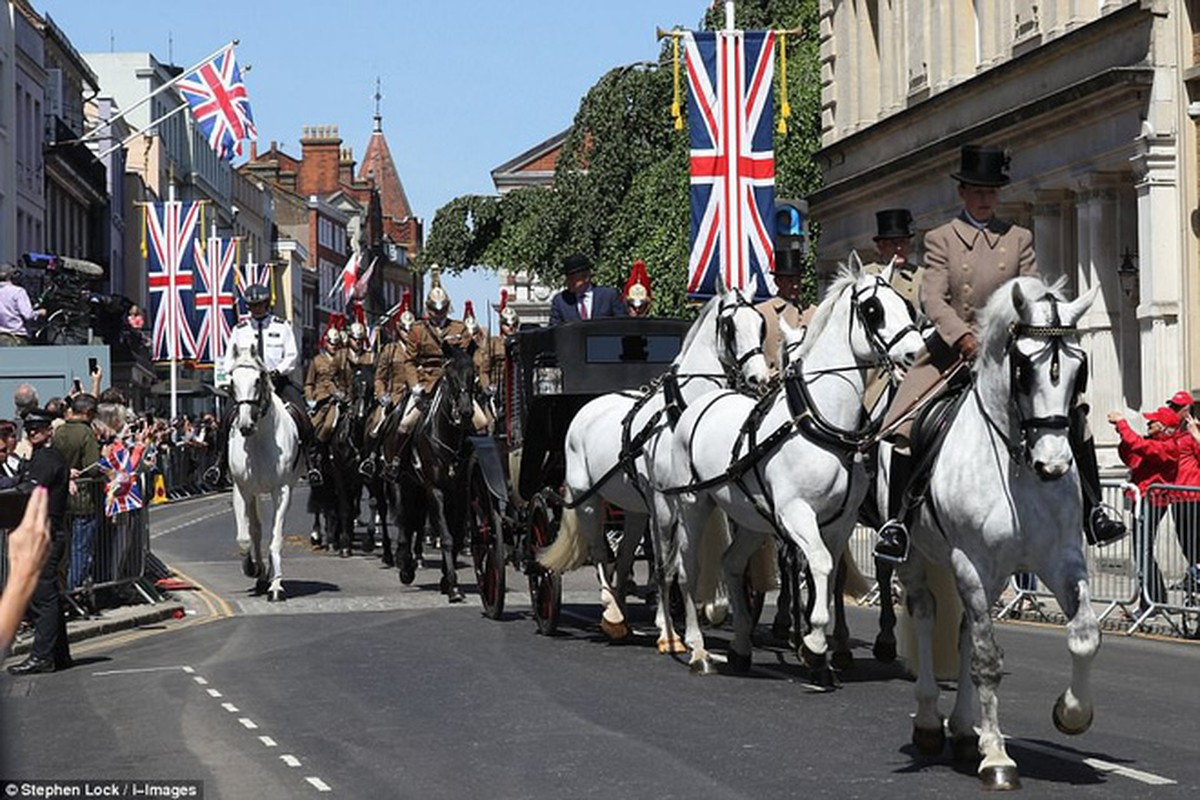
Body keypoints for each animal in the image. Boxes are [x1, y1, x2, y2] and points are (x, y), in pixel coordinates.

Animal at [542, 286, 772, 652]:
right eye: (729, 327)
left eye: (761, 324)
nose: (759, 378)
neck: (683, 415)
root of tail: (587, 409)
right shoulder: (663, 500)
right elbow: (667, 561)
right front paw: (669, 633)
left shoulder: (702, 497)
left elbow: (694, 557)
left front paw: (713, 608)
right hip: (588, 499)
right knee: (599, 552)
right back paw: (610, 610)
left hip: (635, 508)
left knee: (623, 556)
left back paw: (621, 616)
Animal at [662, 261, 921, 681]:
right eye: (873, 310)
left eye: (907, 306)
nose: (916, 354)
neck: (820, 423)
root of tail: (702, 402)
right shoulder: (796, 513)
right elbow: (819, 564)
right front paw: (814, 645)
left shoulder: (840, 521)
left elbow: (828, 575)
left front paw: (821, 649)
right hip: (692, 504)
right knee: (688, 569)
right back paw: (698, 648)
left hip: (751, 517)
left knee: (732, 564)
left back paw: (741, 647)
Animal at [897, 278, 1099, 791]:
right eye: (1023, 369)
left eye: (1079, 369)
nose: (1054, 464)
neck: (1017, 464)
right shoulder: (970, 562)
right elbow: (988, 660)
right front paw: (998, 757)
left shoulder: (1061, 558)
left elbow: (1084, 635)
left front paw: (1072, 713)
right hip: (916, 558)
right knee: (925, 615)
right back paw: (929, 722)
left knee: (967, 630)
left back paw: (963, 729)